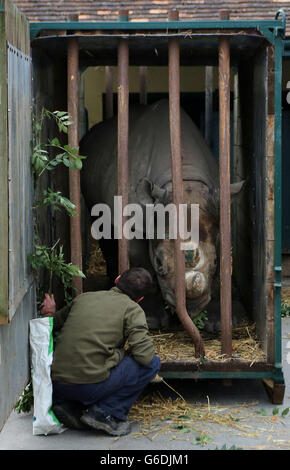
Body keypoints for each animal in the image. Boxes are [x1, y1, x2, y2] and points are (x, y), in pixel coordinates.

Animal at [80, 99, 247, 332]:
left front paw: (219, 323)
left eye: (213, 263)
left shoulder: (219, 214)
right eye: (159, 263)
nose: (191, 305)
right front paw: (152, 320)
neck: (183, 178)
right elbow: (140, 260)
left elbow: (224, 261)